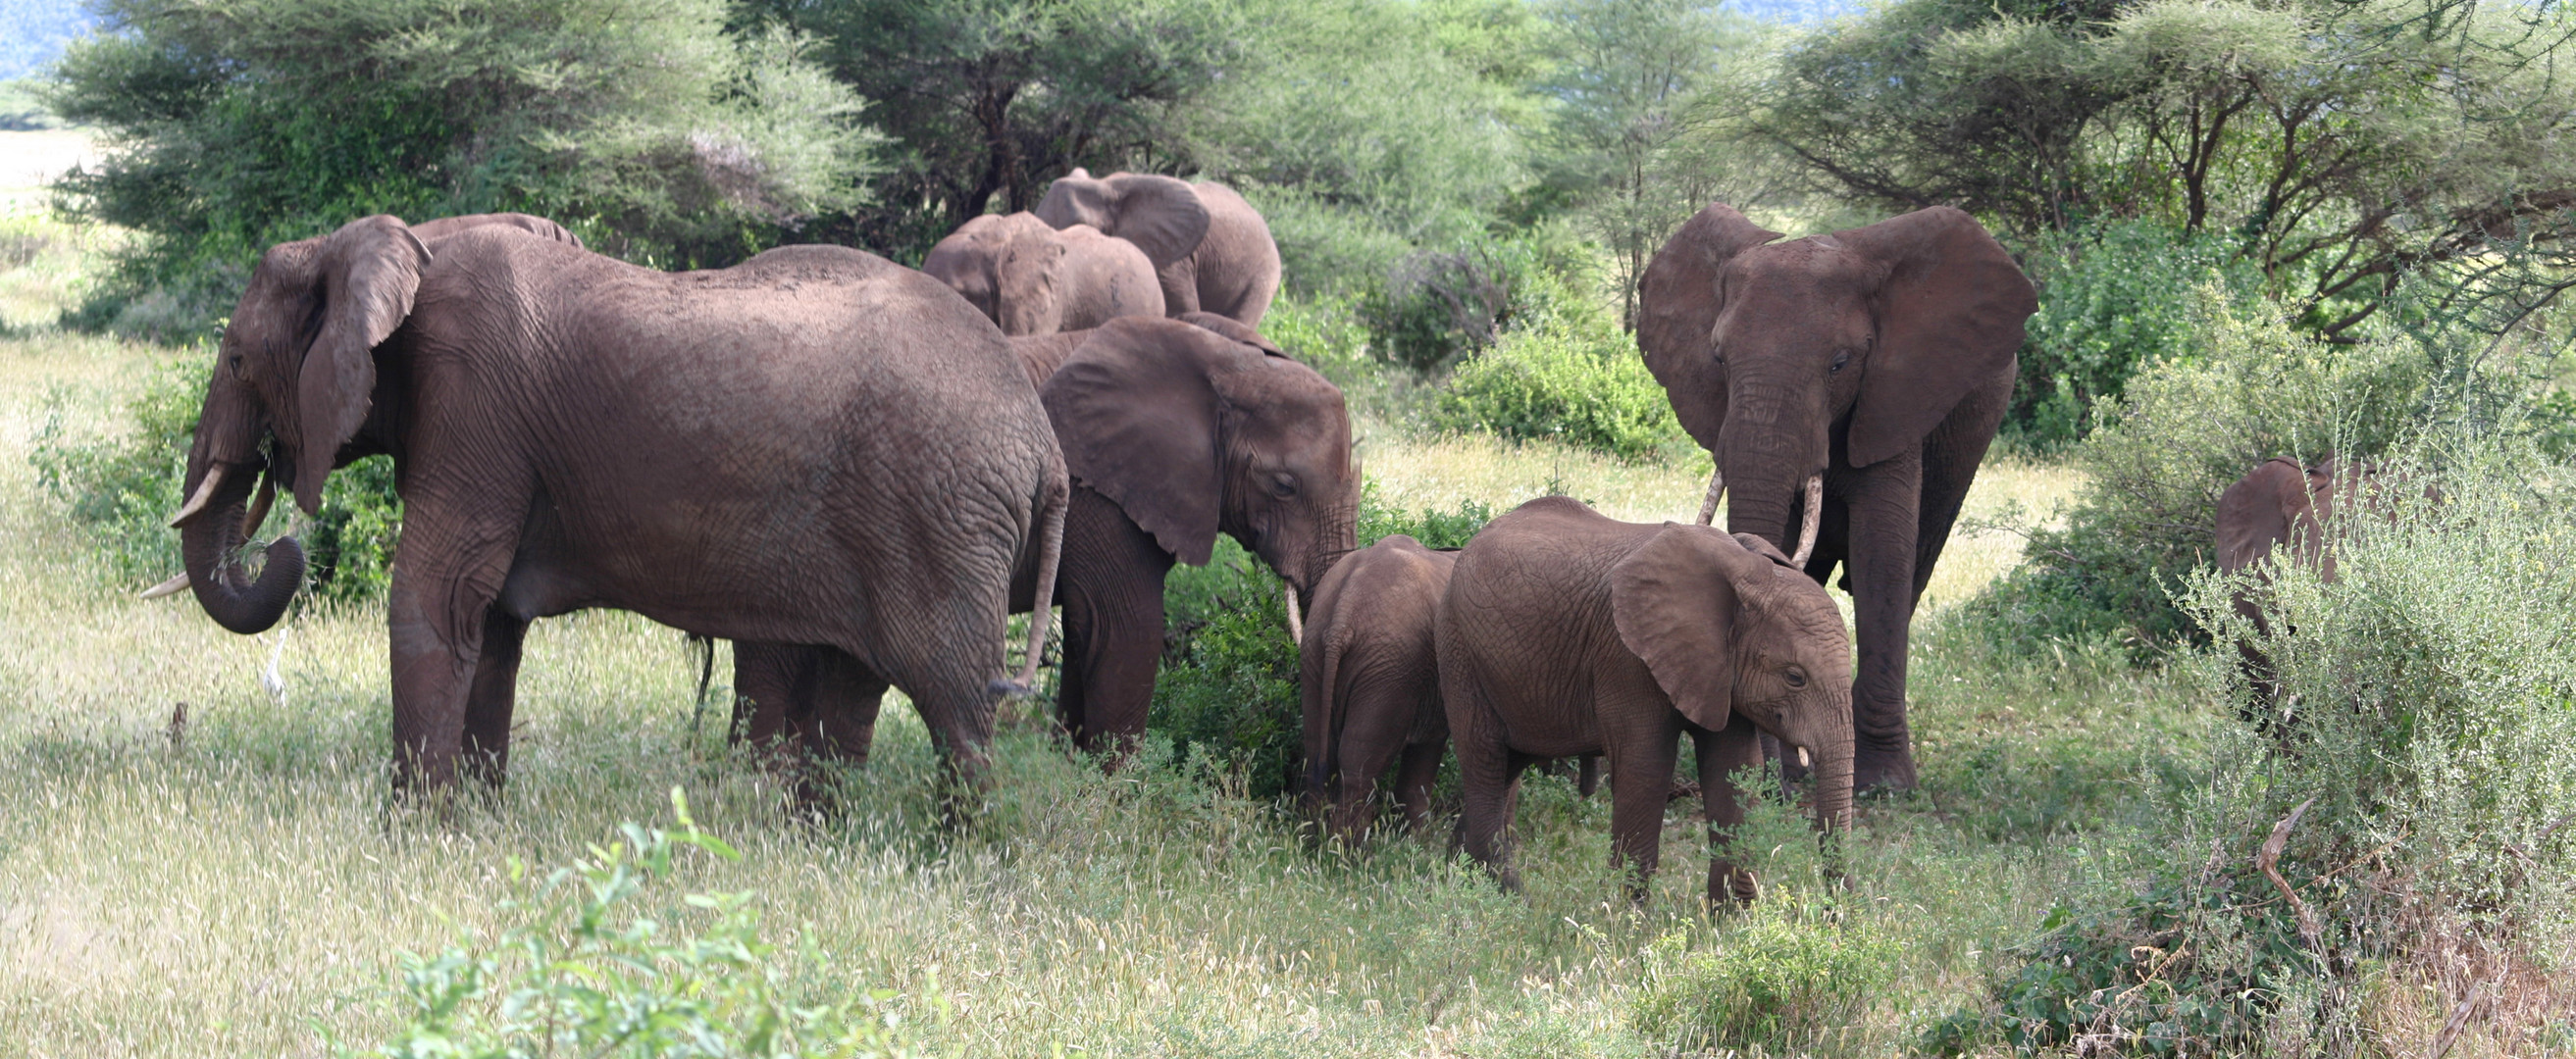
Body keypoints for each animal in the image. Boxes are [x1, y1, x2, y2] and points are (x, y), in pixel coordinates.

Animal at [158, 214, 1066, 793]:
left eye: (235, 360)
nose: (282, 547)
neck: (397, 246)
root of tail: (1044, 445)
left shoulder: (473, 405)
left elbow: (435, 598)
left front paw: (413, 834)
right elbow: (488, 624)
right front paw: (474, 823)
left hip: (942, 517)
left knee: (957, 711)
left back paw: (962, 851)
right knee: (859, 690)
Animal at [1309, 538, 1453, 844]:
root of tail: (1345, 608)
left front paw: (1410, 842)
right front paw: (1414, 844)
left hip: (1317, 649)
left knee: (1315, 751)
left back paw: (1307, 838)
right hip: (1390, 665)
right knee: (1359, 768)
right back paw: (1347, 850)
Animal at [1638, 203, 2039, 793]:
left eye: (1840, 363)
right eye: (1718, 359)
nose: (1768, 786)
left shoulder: (1896, 399)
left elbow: (1882, 558)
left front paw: (1884, 784)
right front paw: (1779, 776)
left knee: (1913, 573)